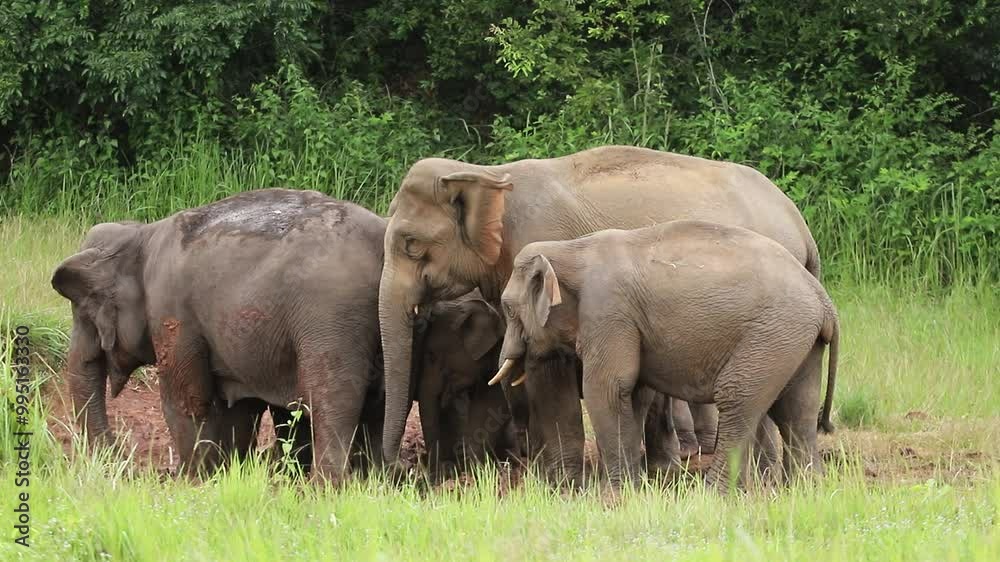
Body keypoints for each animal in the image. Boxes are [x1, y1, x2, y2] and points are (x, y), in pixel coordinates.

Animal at [52, 189, 388, 483]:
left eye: (84, 312)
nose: (130, 466)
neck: (142, 235)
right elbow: (238, 408)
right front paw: (225, 474)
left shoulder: (172, 310)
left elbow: (184, 400)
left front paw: (192, 479)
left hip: (331, 321)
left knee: (332, 402)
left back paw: (326, 487)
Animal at [492, 220, 838, 492]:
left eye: (507, 308)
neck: (570, 249)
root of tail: (823, 299)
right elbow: (632, 394)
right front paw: (631, 488)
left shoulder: (608, 311)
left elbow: (607, 388)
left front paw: (612, 494)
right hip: (795, 338)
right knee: (796, 409)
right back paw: (806, 491)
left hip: (771, 333)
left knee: (738, 398)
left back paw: (714, 495)